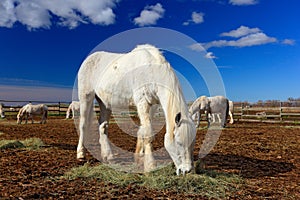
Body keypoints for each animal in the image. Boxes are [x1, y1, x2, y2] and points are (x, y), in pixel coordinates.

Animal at [76, 44, 196, 175]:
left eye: (193, 143)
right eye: (179, 142)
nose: (187, 170)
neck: (151, 70)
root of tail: (89, 58)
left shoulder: (152, 106)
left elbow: (142, 130)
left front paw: (139, 157)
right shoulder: (142, 103)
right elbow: (148, 133)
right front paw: (150, 166)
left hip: (105, 103)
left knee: (103, 126)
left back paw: (108, 156)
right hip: (86, 97)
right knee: (83, 124)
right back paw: (81, 154)